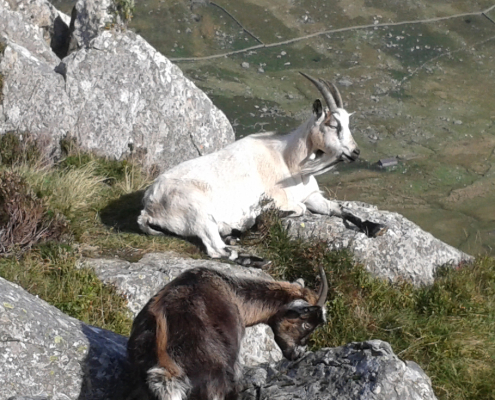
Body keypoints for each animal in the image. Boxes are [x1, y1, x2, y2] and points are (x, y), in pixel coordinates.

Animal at [139, 73, 384, 260]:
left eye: (348, 124)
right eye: (333, 125)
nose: (355, 152)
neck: (289, 163)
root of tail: (148, 206)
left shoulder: (312, 195)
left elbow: (338, 209)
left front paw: (374, 227)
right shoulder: (278, 199)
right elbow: (297, 209)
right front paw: (256, 220)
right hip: (198, 212)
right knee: (217, 250)